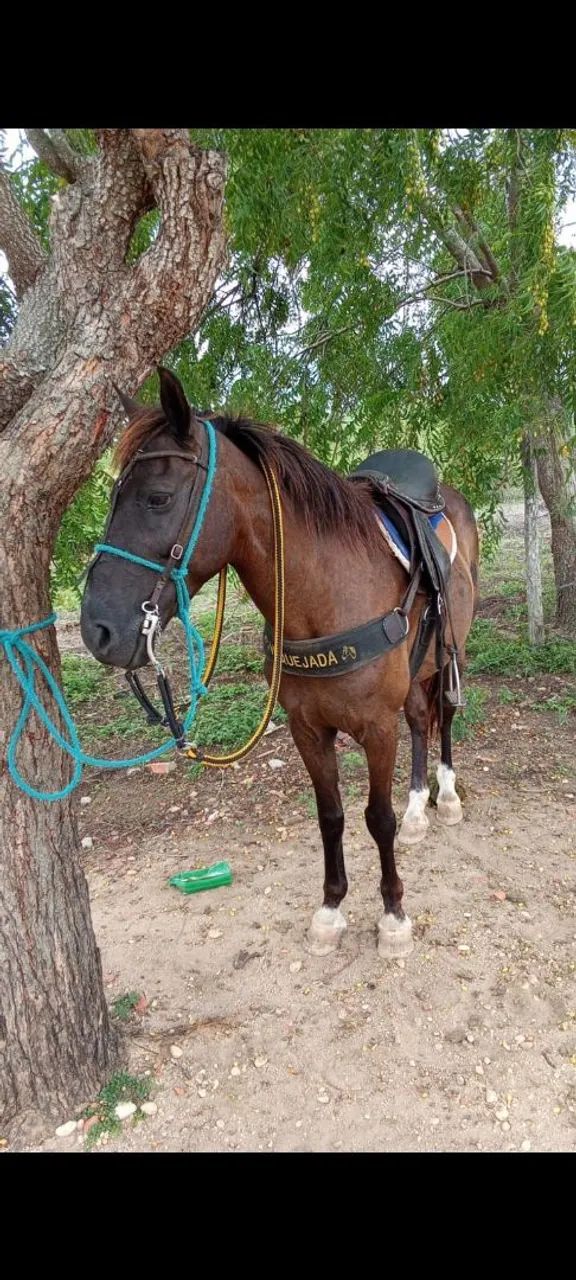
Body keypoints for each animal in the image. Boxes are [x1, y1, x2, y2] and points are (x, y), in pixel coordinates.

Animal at [81, 368, 479, 960]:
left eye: (158, 497)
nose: (98, 630)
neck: (326, 595)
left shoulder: (375, 727)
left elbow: (375, 819)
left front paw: (392, 916)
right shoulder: (307, 729)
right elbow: (331, 816)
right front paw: (331, 910)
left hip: (452, 653)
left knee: (443, 717)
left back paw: (446, 797)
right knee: (417, 720)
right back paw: (416, 811)